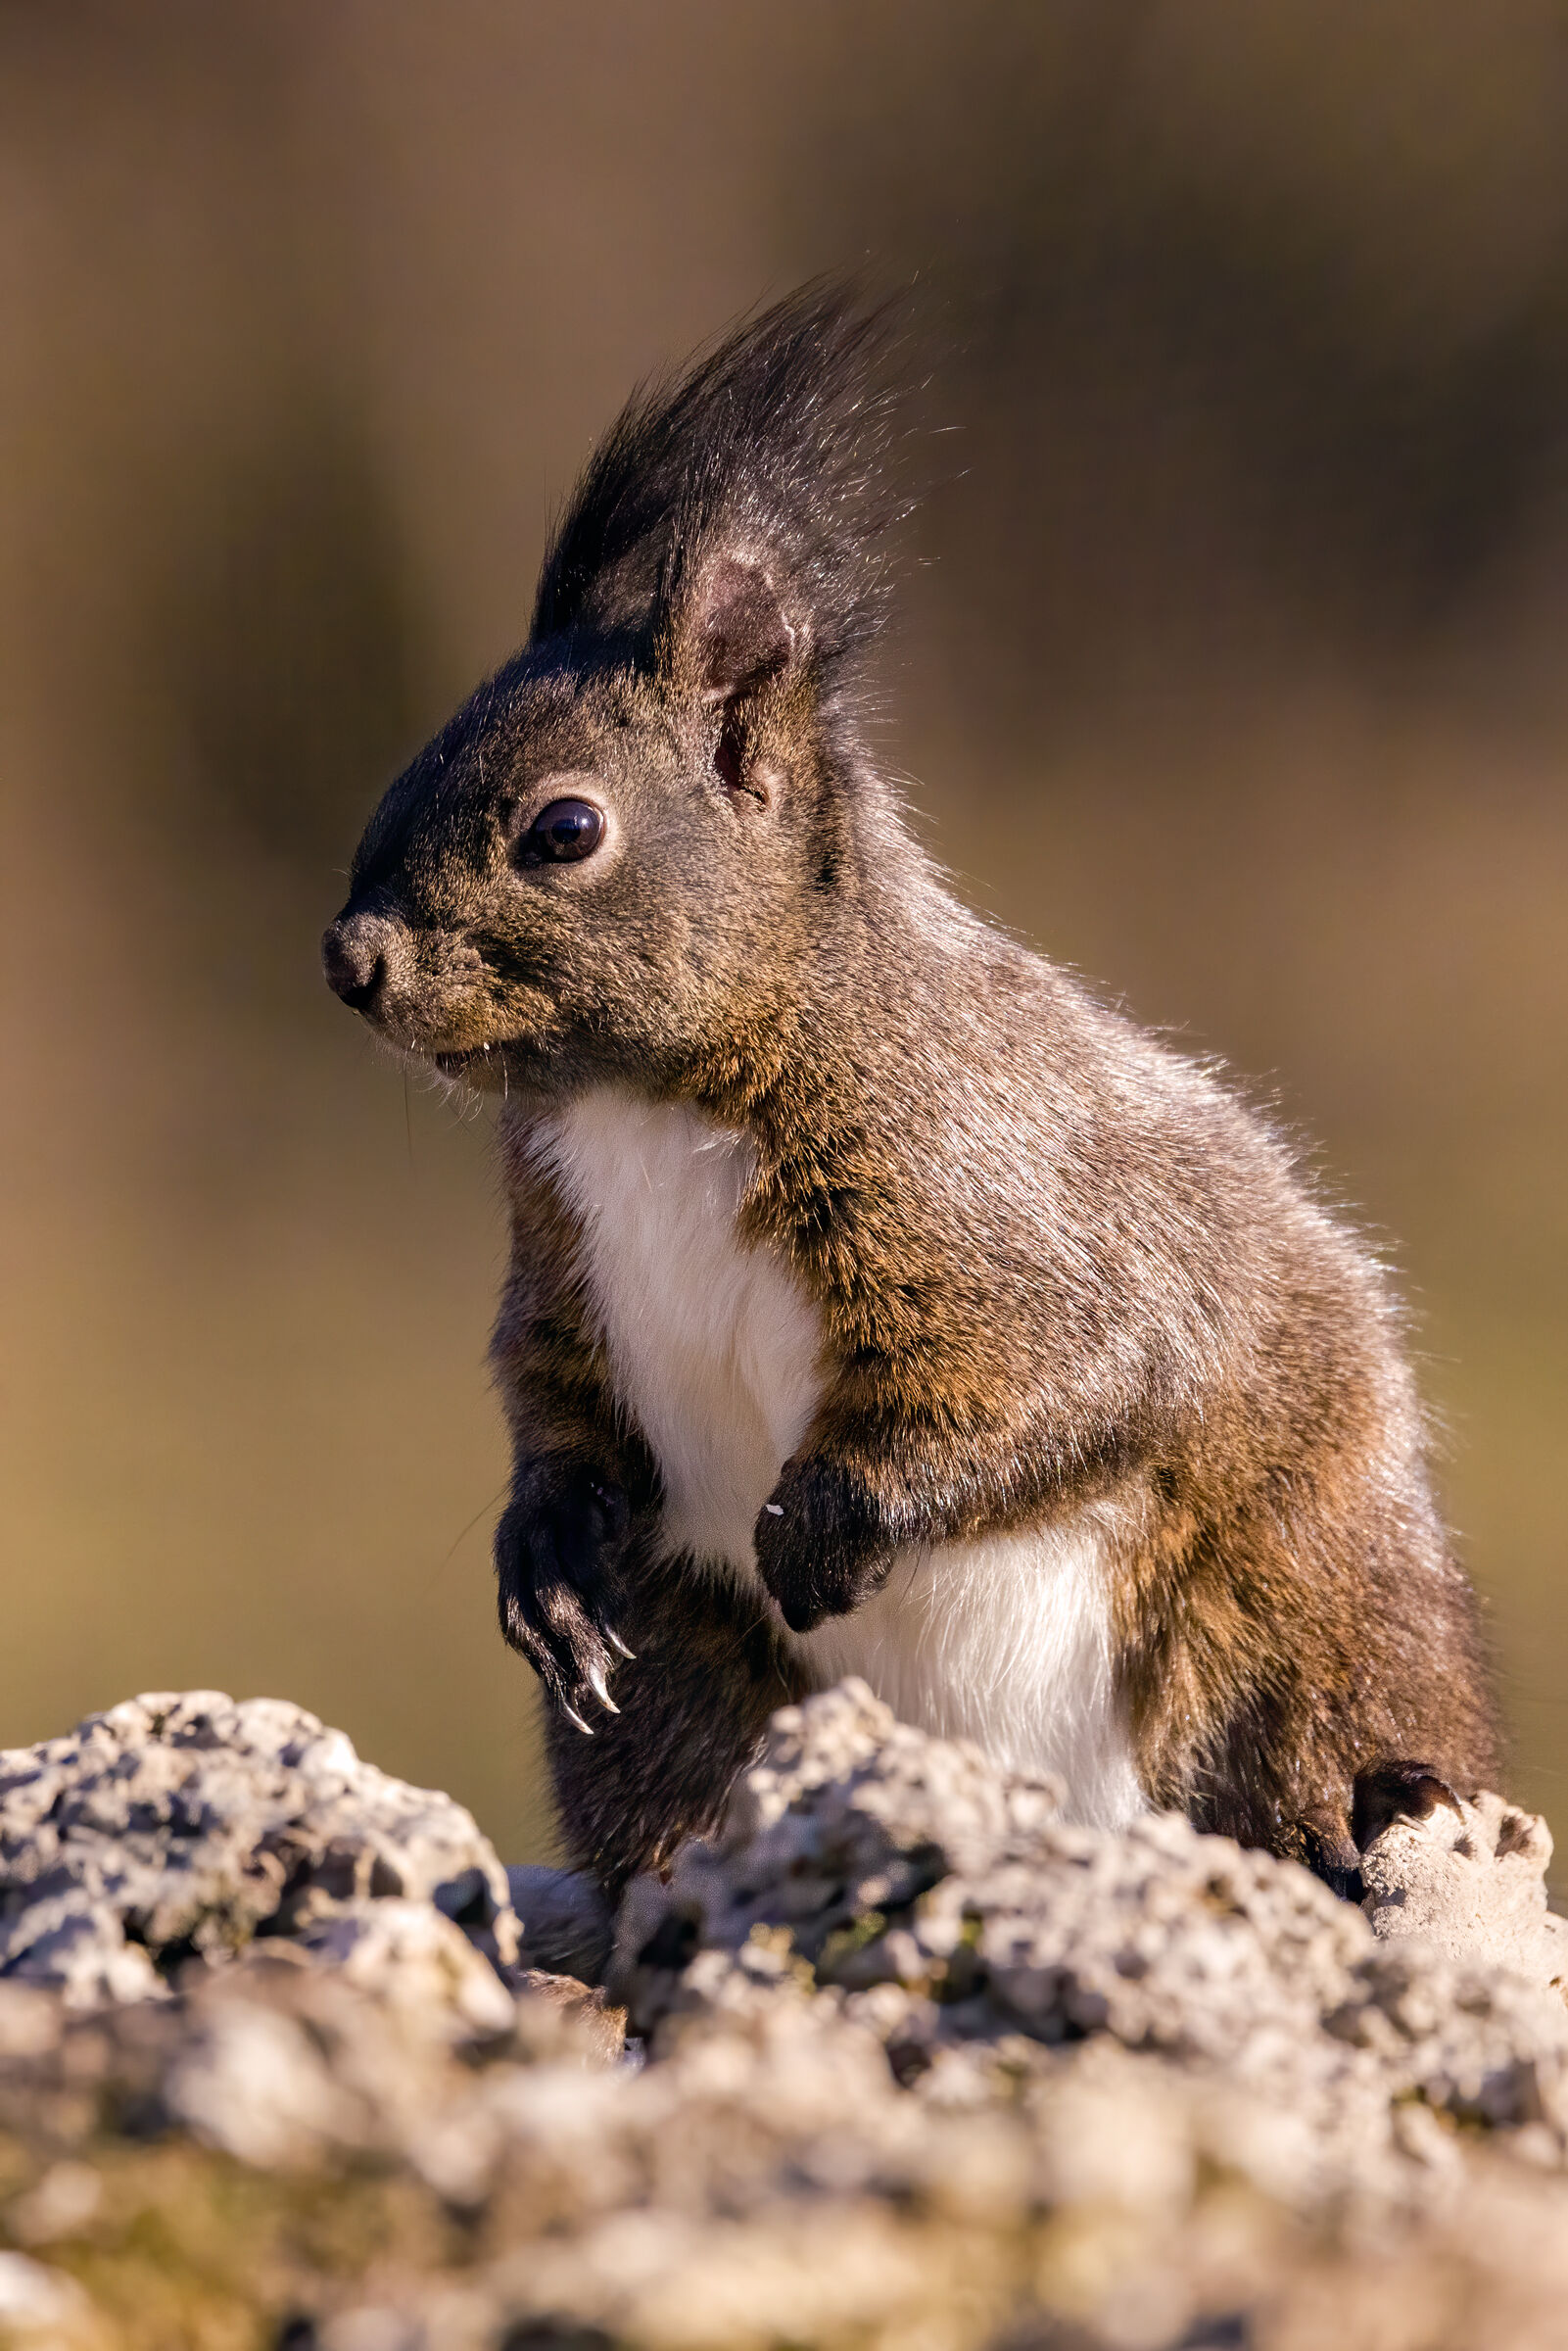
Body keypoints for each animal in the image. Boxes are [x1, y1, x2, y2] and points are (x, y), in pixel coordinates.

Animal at [323, 285, 1501, 1897]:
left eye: (564, 829)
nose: (349, 957)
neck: (652, 1104)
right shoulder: (558, 1264)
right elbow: (553, 1404)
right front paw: (543, 1558)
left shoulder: (986, 1183)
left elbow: (1068, 1375)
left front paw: (828, 1528)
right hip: (688, 1684)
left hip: (1300, 1612)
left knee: (1313, 1735)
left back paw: (1358, 1823)